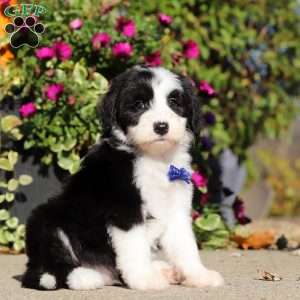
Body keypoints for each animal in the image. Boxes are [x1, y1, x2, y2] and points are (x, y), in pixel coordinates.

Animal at [21, 65, 223, 290]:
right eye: (139, 104)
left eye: (173, 102)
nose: (161, 126)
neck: (154, 158)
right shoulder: (125, 210)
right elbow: (134, 246)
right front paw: (145, 279)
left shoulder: (176, 207)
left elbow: (185, 245)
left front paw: (199, 275)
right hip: (47, 220)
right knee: (49, 267)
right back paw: (85, 276)